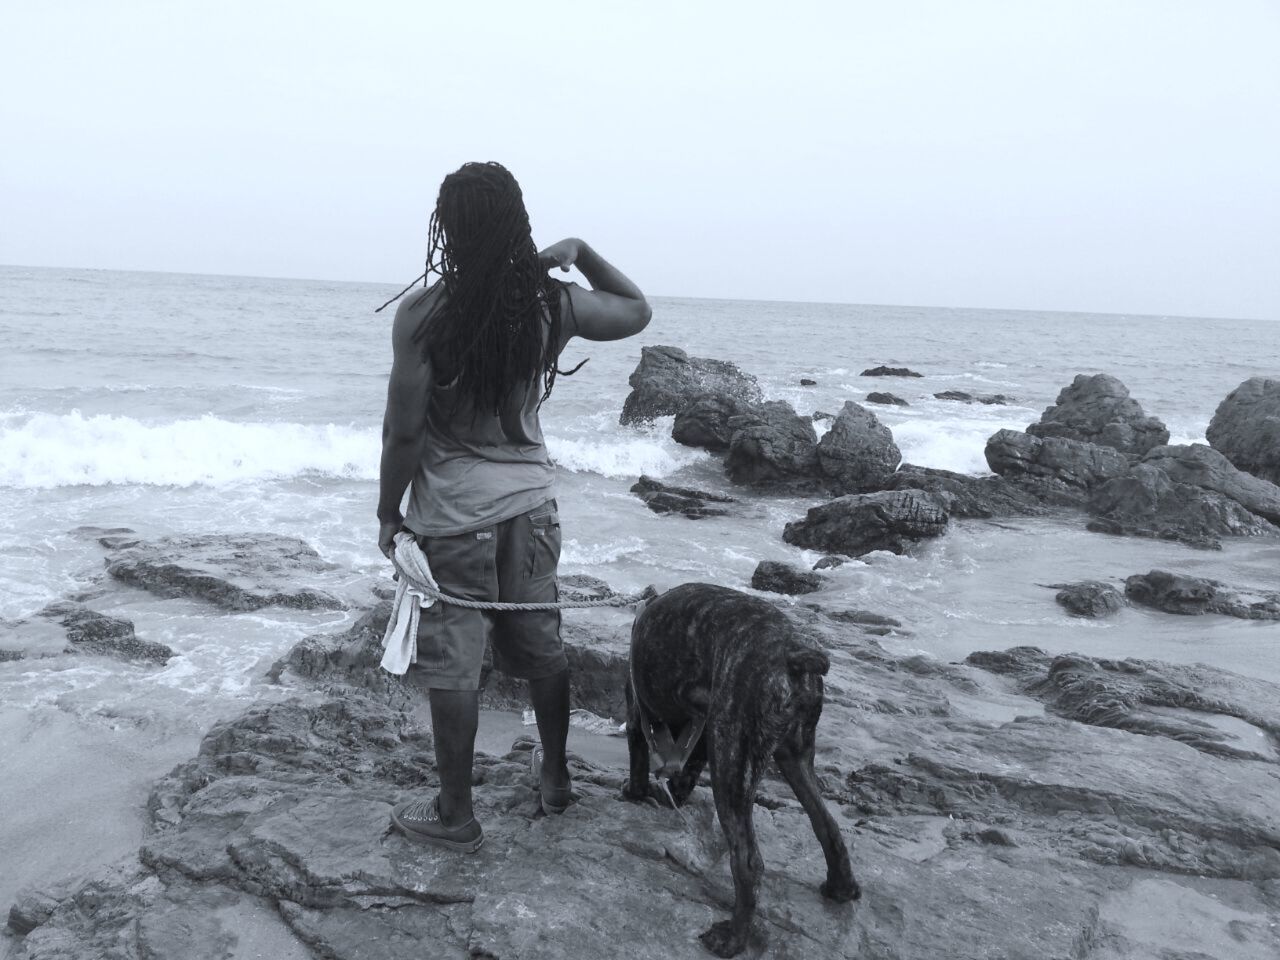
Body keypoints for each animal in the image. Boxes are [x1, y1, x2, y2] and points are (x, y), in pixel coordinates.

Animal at [622, 583, 860, 957]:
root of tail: (793, 654)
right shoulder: (703, 729)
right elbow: (690, 767)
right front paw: (673, 792)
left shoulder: (639, 713)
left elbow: (638, 755)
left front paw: (636, 793)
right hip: (794, 756)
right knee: (826, 823)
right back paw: (841, 887)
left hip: (732, 763)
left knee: (748, 861)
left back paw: (733, 938)